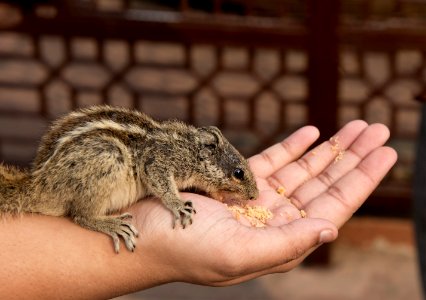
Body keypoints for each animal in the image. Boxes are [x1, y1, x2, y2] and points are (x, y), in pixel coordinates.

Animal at [0, 105, 258, 253]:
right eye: (238, 173)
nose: (255, 196)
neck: (190, 149)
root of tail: (37, 187)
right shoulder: (159, 161)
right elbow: (160, 181)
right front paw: (177, 204)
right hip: (108, 158)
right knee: (81, 216)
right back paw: (112, 225)